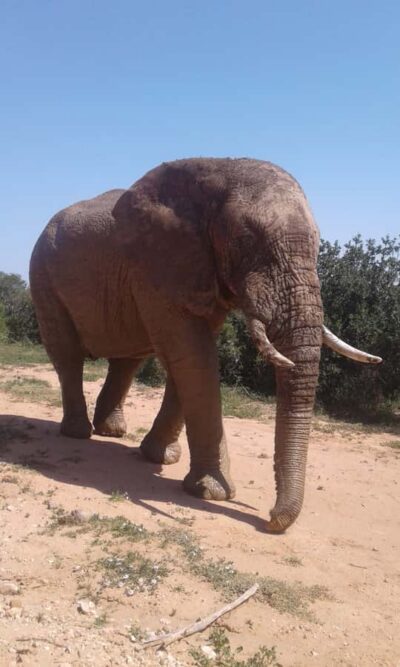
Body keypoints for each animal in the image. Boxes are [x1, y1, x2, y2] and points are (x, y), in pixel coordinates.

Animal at [30, 158, 381, 532]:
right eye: (246, 240)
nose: (270, 520)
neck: (217, 167)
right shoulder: (156, 268)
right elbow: (193, 356)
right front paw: (212, 493)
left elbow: (189, 357)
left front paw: (162, 459)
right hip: (43, 276)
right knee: (68, 355)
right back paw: (78, 433)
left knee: (128, 360)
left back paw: (112, 433)